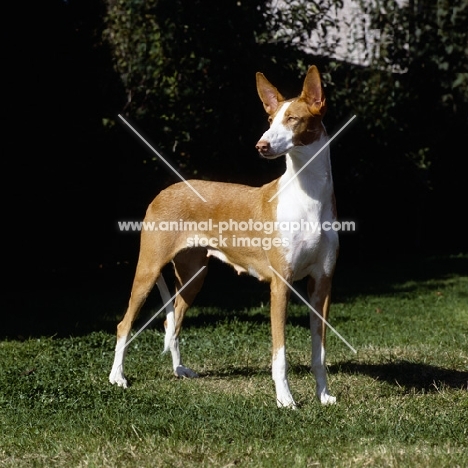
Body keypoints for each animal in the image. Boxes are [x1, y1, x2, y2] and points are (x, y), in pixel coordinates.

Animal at [108, 65, 338, 406]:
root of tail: (164, 191)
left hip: (194, 276)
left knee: (173, 321)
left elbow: (319, 353)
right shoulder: (280, 285)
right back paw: (117, 376)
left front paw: (323, 395)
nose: (261, 145)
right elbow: (280, 354)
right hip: (148, 270)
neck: (308, 198)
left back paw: (178, 370)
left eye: (293, 119)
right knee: (125, 323)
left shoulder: (321, 285)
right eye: (270, 120)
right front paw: (285, 399)